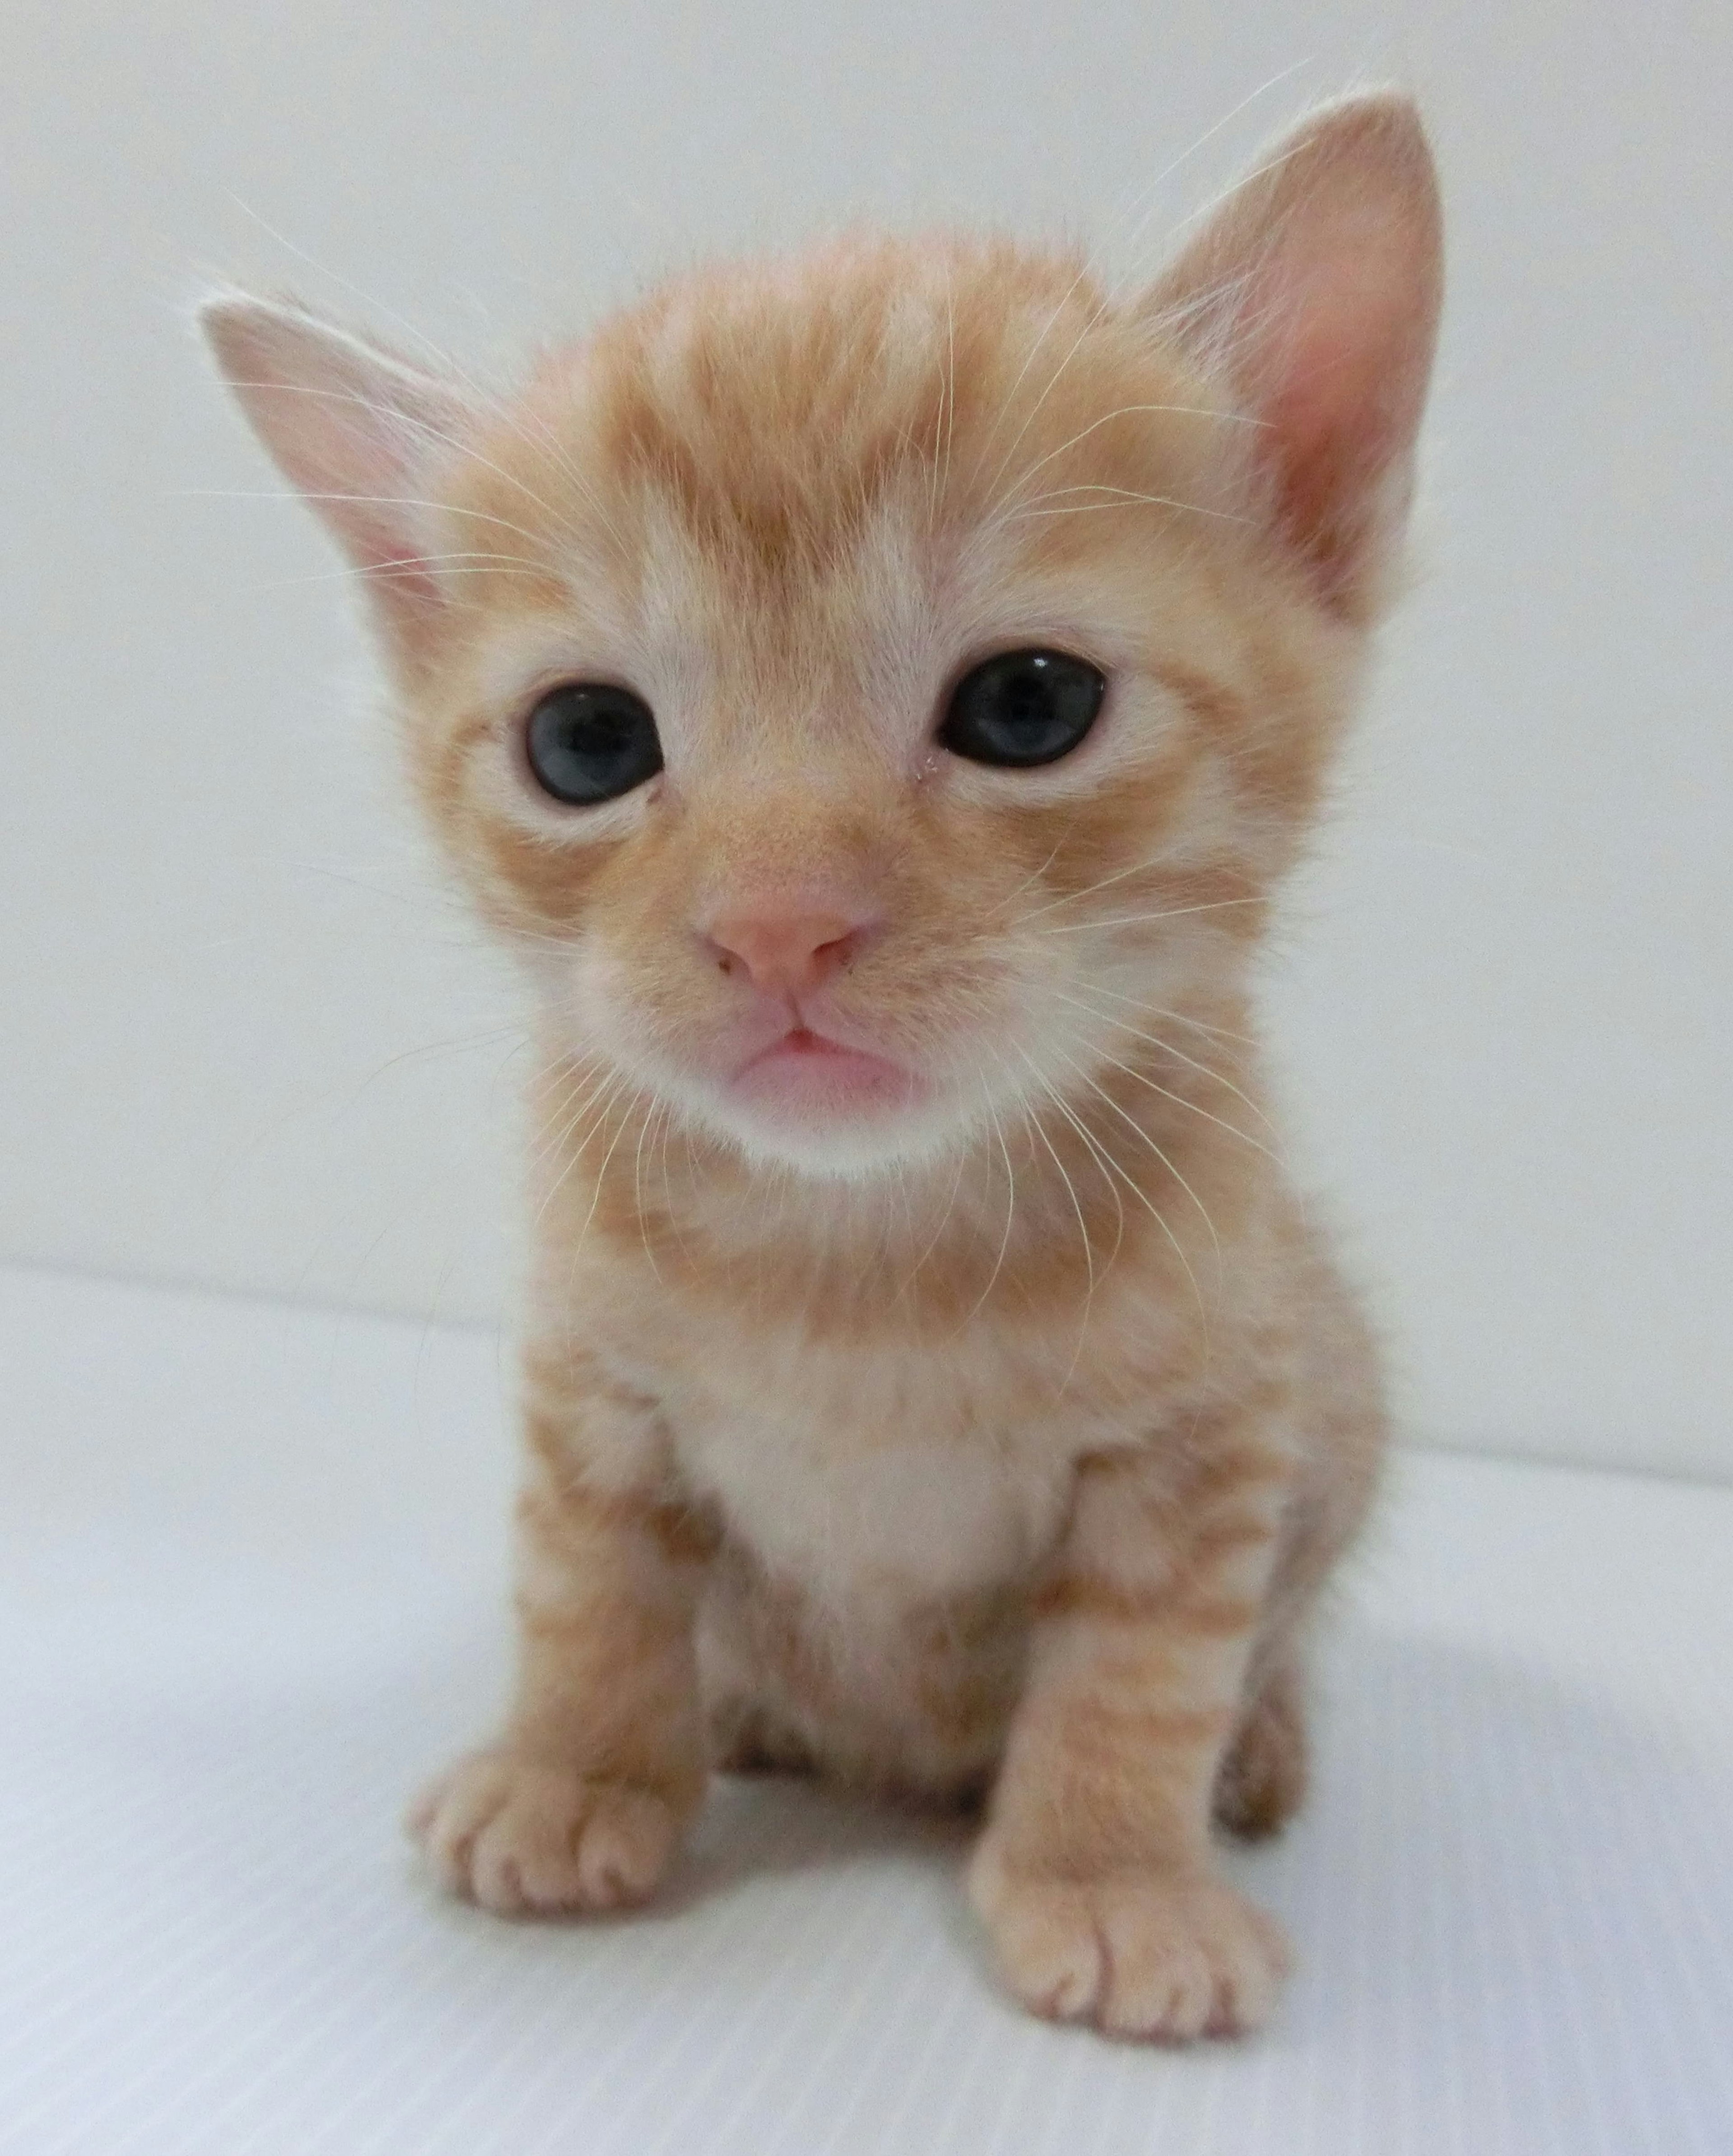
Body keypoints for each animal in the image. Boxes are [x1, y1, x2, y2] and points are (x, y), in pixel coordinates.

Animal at [202, 93, 1440, 2044]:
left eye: (1027, 705)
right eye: (585, 740)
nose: (780, 925)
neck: (858, 1266)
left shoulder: (1216, 1420)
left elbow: (1146, 1664)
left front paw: (1113, 1872)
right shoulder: (589, 1371)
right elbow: (588, 1578)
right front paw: (573, 1764)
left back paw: (1258, 1747)